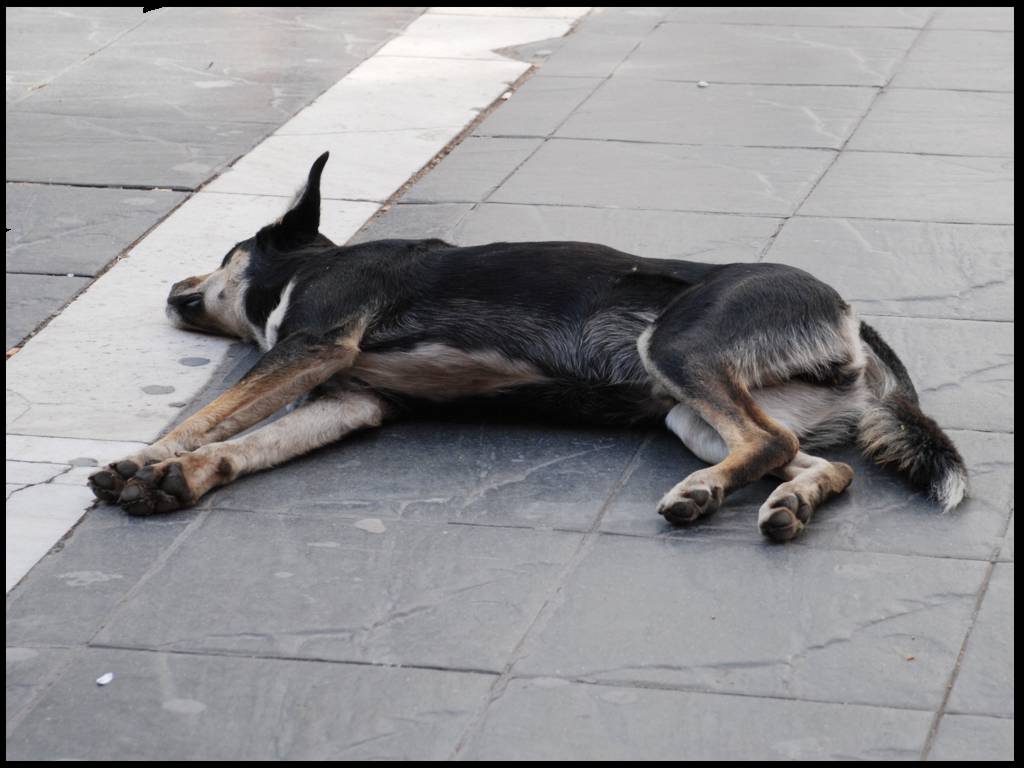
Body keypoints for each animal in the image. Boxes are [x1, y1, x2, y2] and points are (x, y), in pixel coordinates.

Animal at [89, 152, 968, 541]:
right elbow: (245, 442)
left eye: (227, 253)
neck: (311, 264)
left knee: (772, 441)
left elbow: (209, 416)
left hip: (676, 345)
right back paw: (781, 499)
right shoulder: (349, 400)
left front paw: (144, 460)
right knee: (816, 459)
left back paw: (711, 495)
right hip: (691, 414)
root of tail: (850, 313)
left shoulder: (314, 343)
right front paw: (181, 478)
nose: (172, 287)